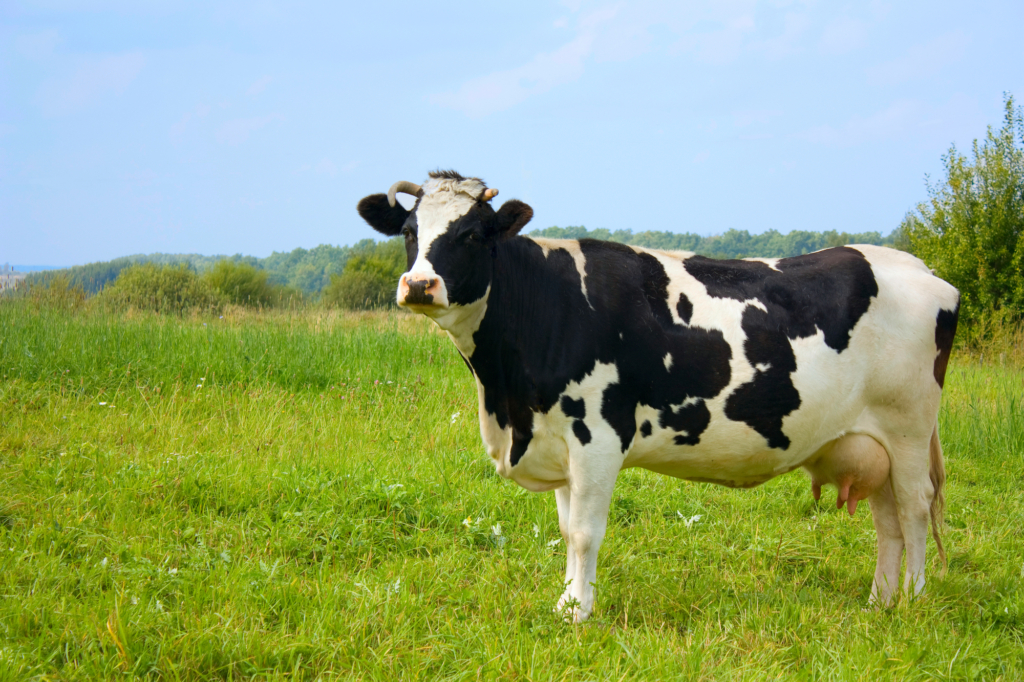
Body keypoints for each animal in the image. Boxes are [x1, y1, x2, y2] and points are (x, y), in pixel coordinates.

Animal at [354, 169, 958, 622]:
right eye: (409, 231)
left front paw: (577, 613)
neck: (507, 403)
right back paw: (880, 601)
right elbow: (566, 528)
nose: (419, 285)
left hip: (908, 427)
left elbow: (584, 532)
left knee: (914, 508)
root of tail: (919, 267)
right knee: (887, 519)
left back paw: (912, 600)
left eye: (474, 233)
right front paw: (569, 603)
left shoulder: (597, 436)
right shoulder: (557, 440)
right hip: (872, 438)